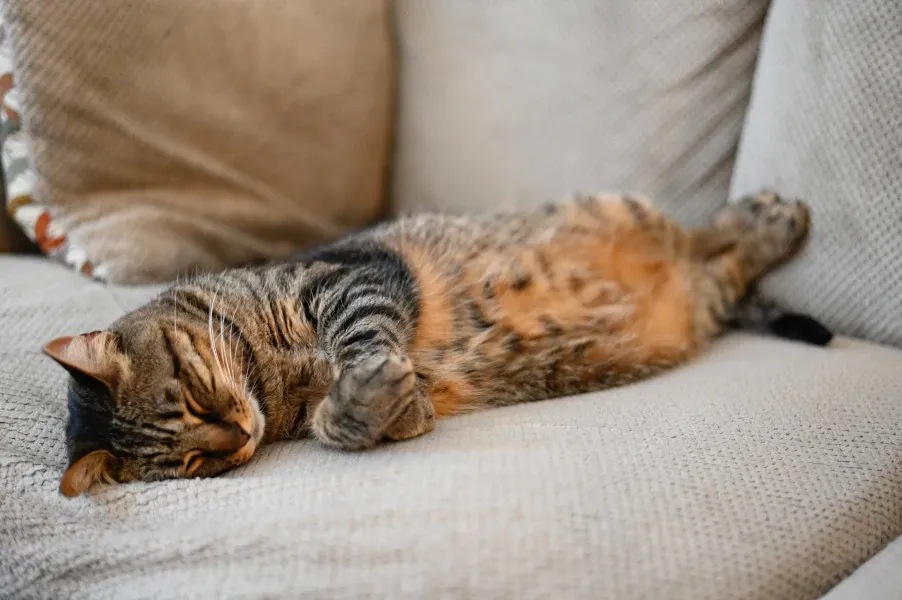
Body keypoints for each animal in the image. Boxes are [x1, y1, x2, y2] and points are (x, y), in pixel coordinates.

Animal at [42, 191, 832, 496]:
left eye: (196, 388)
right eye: (195, 463)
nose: (236, 435)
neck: (272, 382)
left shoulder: (351, 278)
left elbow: (361, 341)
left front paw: (365, 394)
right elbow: (369, 410)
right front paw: (386, 407)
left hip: (620, 208)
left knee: (709, 235)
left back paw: (770, 217)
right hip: (699, 299)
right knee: (718, 266)